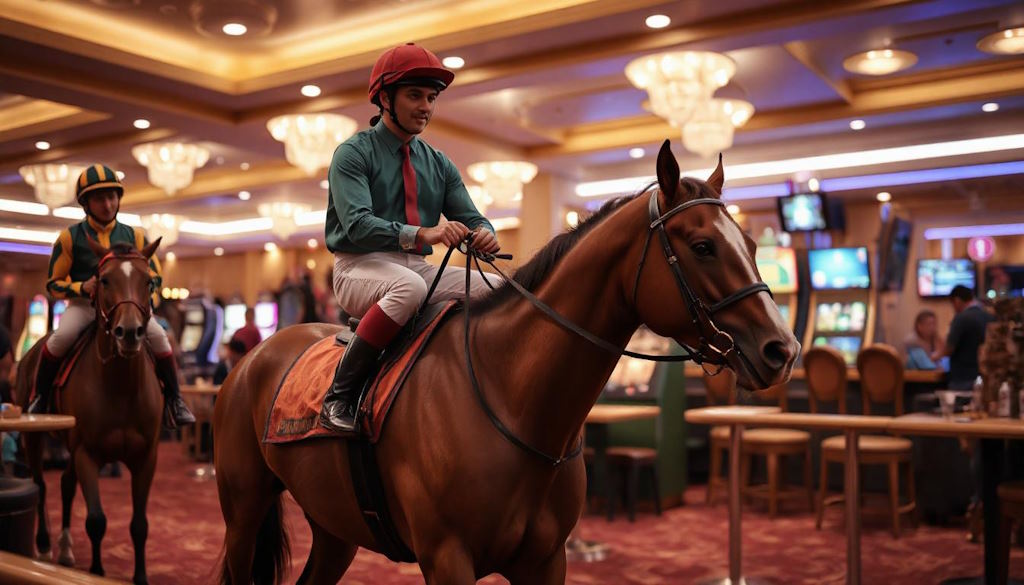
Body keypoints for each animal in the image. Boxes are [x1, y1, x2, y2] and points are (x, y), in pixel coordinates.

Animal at [15, 237, 163, 585]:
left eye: (149, 282)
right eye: (104, 279)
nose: (130, 332)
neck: (121, 387)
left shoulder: (146, 457)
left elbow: (140, 524)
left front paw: (140, 577)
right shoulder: (86, 453)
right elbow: (96, 520)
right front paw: (96, 571)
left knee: (66, 485)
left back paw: (66, 549)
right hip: (34, 437)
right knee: (41, 486)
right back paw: (44, 545)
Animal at [214, 143, 798, 585]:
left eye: (751, 243)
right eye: (702, 246)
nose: (783, 350)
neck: (509, 394)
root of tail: (251, 362)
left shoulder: (545, 561)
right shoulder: (447, 560)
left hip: (335, 527)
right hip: (243, 512)